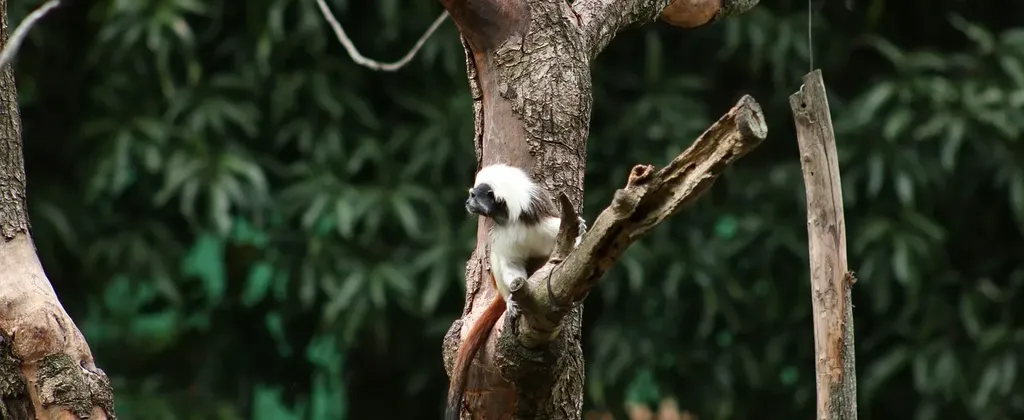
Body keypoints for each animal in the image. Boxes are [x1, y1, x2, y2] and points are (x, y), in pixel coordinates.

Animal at [446, 163, 587, 420]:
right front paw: (513, 300)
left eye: (474, 196)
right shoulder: (503, 234)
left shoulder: (541, 220)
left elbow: (572, 238)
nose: (467, 202)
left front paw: (580, 229)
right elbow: (509, 263)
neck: (511, 217)